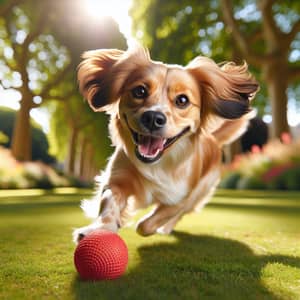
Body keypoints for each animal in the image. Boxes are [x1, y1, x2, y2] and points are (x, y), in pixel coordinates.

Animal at [72, 43, 258, 243]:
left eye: (182, 100)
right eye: (139, 91)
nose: (153, 118)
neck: (157, 164)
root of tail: (214, 139)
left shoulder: (182, 198)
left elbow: (147, 224)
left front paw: (147, 224)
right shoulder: (116, 180)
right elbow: (109, 202)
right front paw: (101, 228)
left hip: (200, 192)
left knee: (178, 215)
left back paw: (165, 229)